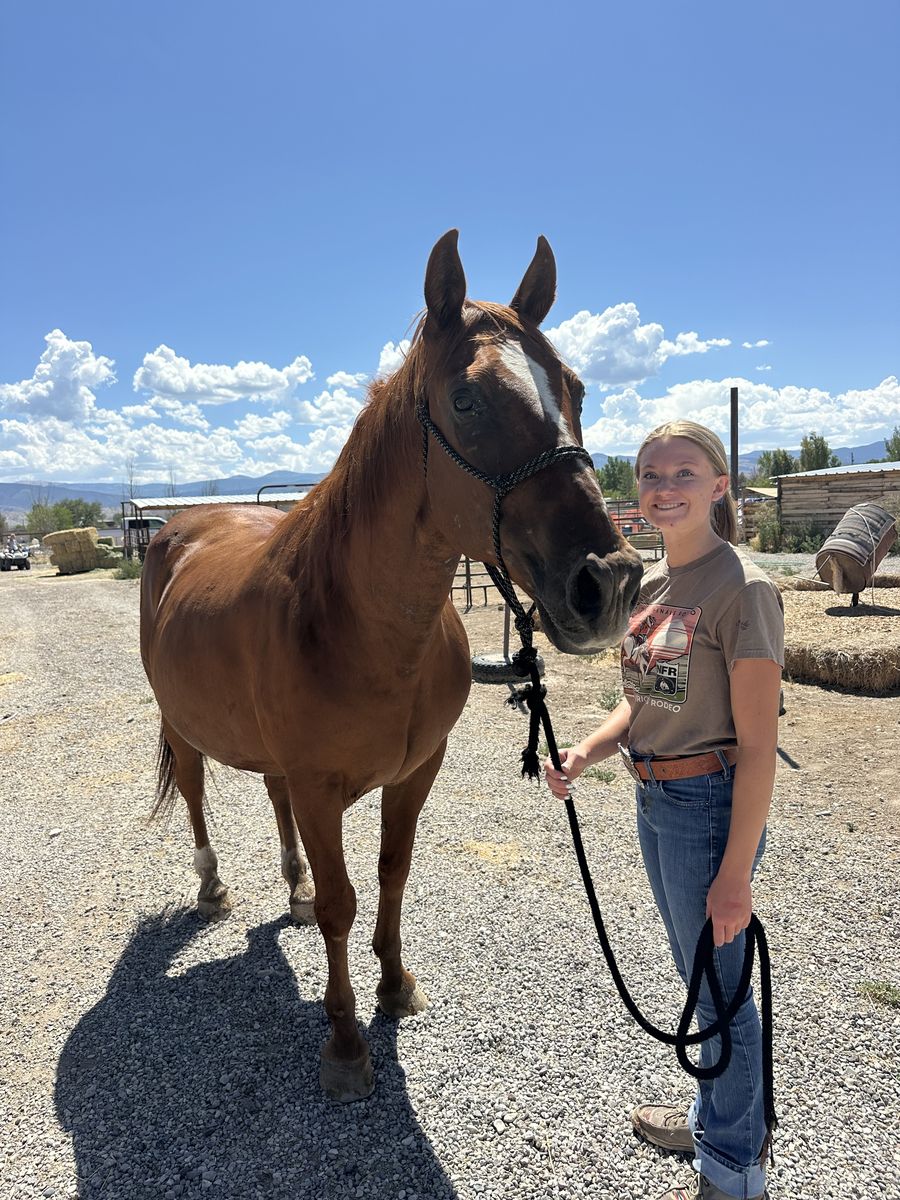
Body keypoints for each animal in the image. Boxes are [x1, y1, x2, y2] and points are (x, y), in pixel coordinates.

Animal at [139, 230, 643, 1102]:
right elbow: (344, 906)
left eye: (576, 387)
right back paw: (211, 886)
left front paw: (395, 986)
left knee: (271, 801)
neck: (358, 626)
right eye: (467, 401)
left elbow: (392, 874)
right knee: (199, 794)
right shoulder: (320, 788)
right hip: (183, 724)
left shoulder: (414, 772)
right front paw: (345, 1042)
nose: (607, 583)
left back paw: (293, 885)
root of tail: (179, 529)